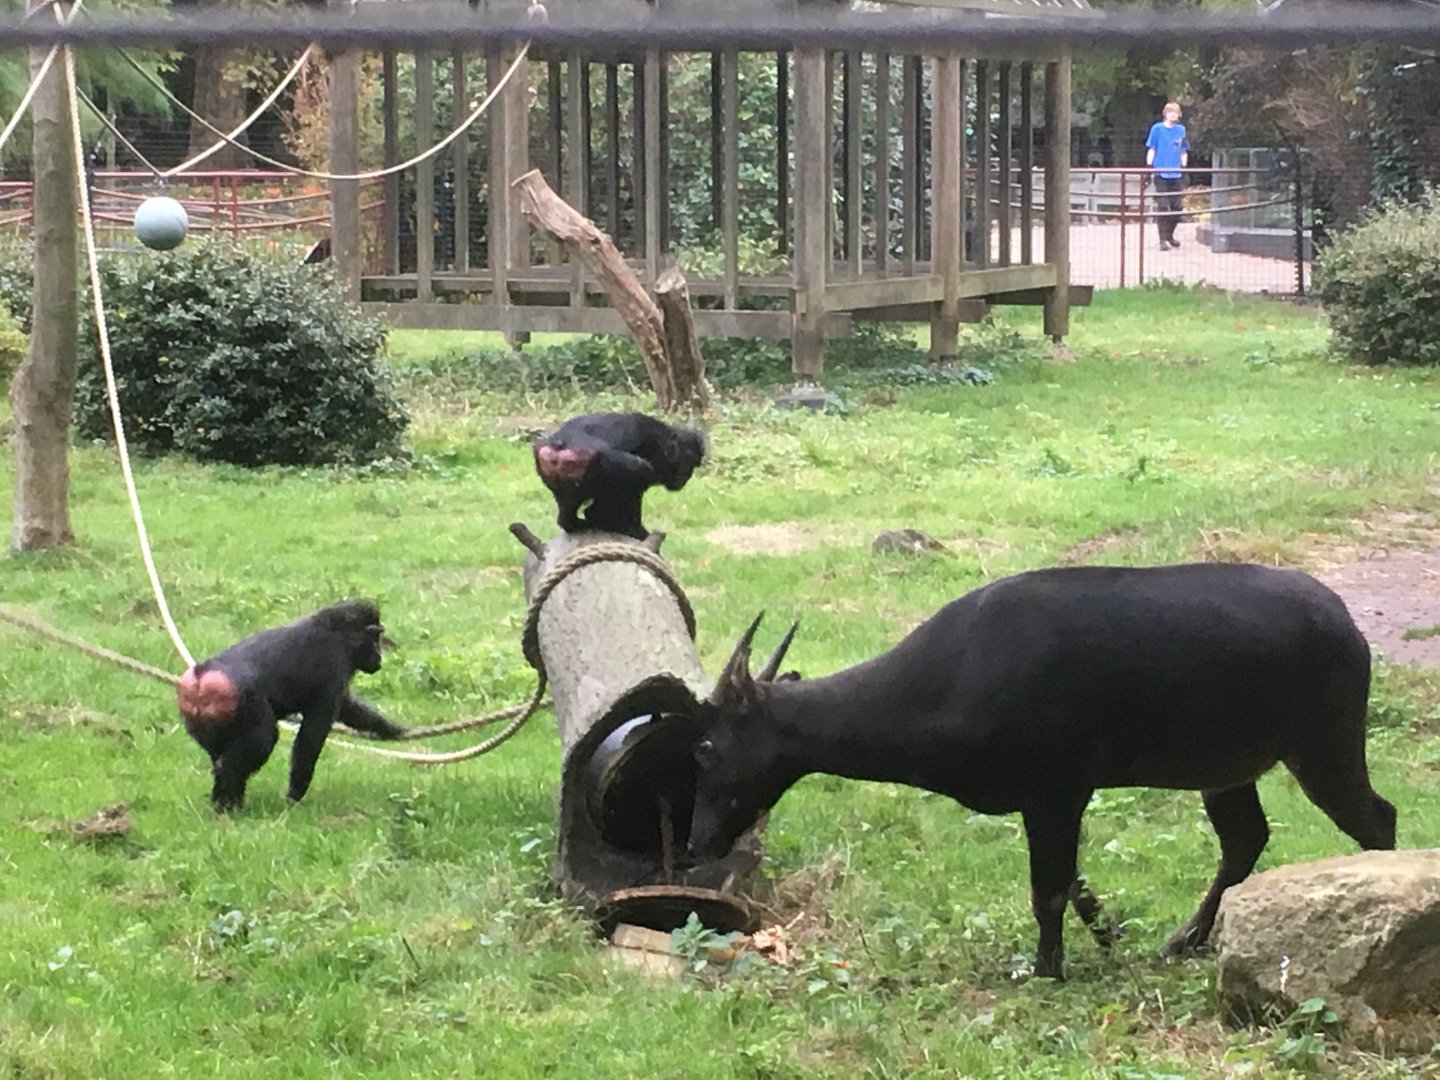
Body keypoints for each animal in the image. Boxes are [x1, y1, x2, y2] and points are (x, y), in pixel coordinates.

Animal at [177, 601, 405, 812]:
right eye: (375, 637)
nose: (379, 654)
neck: (340, 634)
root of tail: (201, 678)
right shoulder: (333, 669)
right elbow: (310, 739)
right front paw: (294, 796)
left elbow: (349, 708)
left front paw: (390, 728)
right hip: (246, 703)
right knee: (262, 740)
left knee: (219, 754)